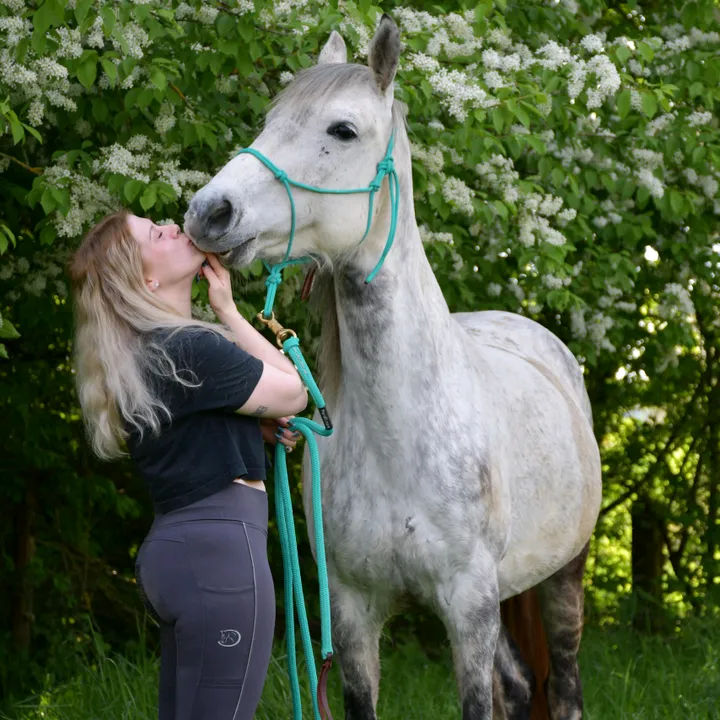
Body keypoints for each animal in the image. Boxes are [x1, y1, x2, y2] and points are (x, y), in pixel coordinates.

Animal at [185, 15, 602, 720]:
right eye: (270, 120)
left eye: (342, 130)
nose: (209, 213)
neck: (400, 434)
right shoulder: (353, 609)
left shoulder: (467, 610)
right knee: (521, 687)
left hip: (562, 578)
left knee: (565, 689)